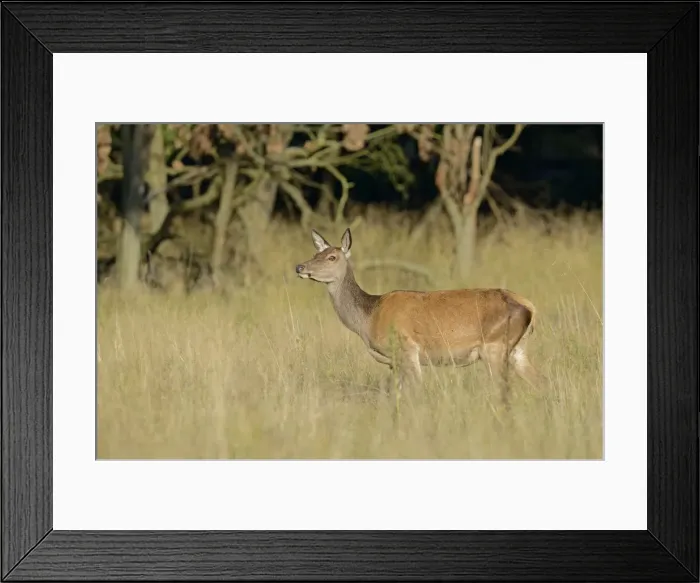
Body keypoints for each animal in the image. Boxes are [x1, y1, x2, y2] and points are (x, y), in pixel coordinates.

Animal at [295, 228, 543, 405]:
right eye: (316, 253)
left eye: (332, 257)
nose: (300, 267)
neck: (368, 318)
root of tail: (530, 307)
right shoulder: (394, 362)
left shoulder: (408, 349)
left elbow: (416, 393)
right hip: (518, 350)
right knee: (541, 382)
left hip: (494, 346)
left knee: (505, 390)